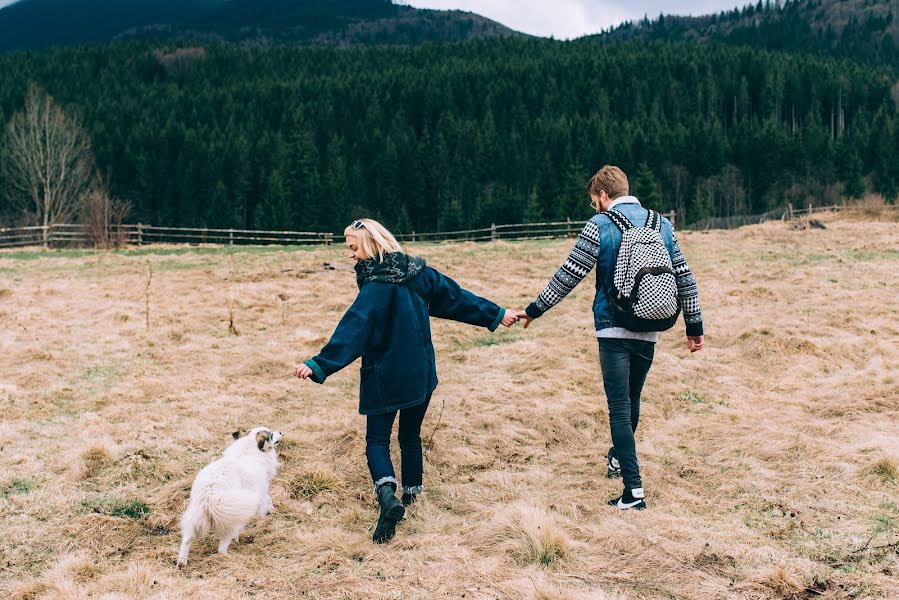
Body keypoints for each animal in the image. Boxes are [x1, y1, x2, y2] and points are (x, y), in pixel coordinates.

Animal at [178, 428, 284, 564]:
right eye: (271, 434)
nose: (280, 432)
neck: (249, 449)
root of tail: (210, 495)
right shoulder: (260, 489)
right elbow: (268, 498)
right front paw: (269, 510)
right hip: (230, 519)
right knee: (221, 548)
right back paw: (227, 557)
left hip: (195, 520)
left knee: (186, 541)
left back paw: (182, 562)